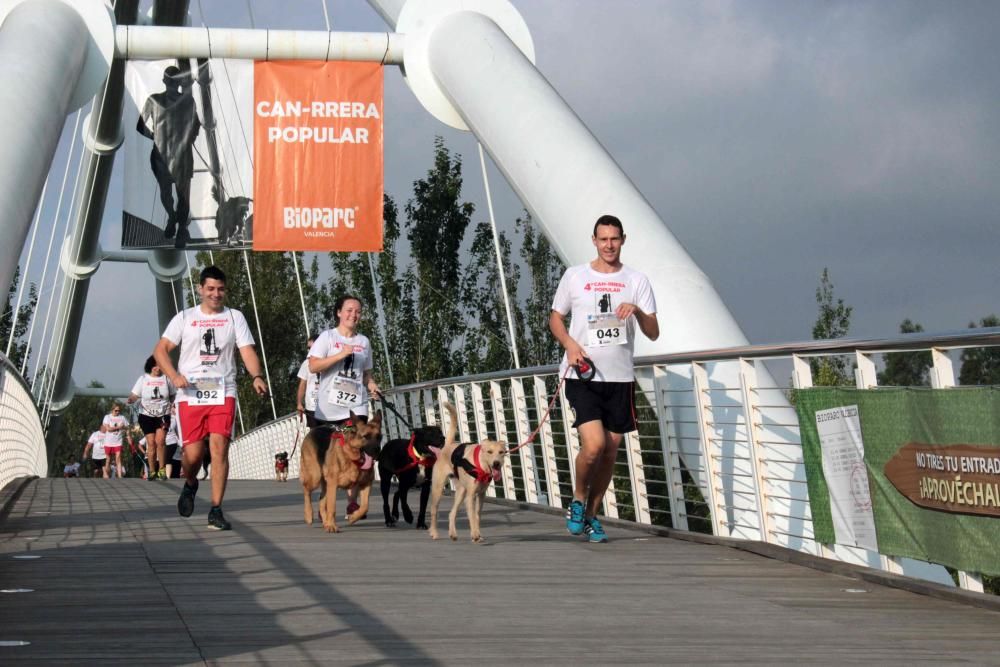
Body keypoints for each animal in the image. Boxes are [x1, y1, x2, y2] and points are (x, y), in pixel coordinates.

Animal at [428, 402, 508, 544]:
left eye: (501, 452)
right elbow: (472, 516)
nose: (496, 464)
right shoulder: (471, 496)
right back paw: (434, 533)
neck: (481, 465)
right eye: (489, 452)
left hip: (461, 492)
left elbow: (477, 515)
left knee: (452, 513)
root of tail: (447, 446)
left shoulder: (481, 495)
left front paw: (478, 535)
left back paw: (453, 534)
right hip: (438, 488)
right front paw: (475, 534)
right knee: (434, 510)